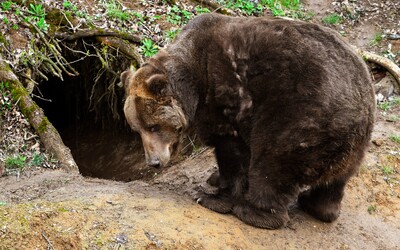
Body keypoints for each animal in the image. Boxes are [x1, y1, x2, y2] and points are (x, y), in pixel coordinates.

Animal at [121, 13, 376, 229]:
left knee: (271, 164)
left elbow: (232, 151)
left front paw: (211, 196)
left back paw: (253, 211)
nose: (153, 162)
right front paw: (214, 179)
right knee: (337, 180)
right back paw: (318, 206)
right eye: (136, 129)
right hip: (352, 142)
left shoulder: (225, 97)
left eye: (153, 126)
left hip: (299, 119)